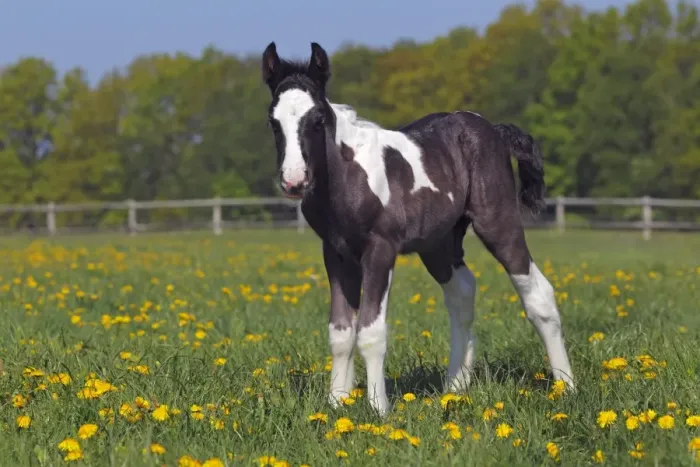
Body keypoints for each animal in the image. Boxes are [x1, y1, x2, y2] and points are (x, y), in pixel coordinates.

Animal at [260, 41, 575, 416]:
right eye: (273, 122)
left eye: (318, 119)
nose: (294, 181)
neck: (347, 178)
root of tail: (493, 131)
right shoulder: (336, 253)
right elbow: (340, 331)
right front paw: (336, 403)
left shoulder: (380, 250)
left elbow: (370, 331)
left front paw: (378, 409)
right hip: (438, 245)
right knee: (462, 293)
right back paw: (455, 387)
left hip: (497, 223)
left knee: (539, 294)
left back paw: (566, 386)